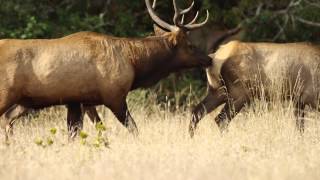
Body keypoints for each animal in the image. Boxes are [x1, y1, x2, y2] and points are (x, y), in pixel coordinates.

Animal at [0, 0, 211, 138]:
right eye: (190, 46)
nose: (208, 59)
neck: (134, 65)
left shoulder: (79, 101)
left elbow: (80, 132)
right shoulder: (114, 96)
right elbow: (133, 129)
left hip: (24, 101)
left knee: (8, 119)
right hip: (6, 93)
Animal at [189, 40, 320, 136]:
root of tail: (215, 57)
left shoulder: (298, 99)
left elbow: (300, 127)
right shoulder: (310, 96)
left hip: (218, 91)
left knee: (196, 112)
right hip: (240, 94)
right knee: (221, 119)